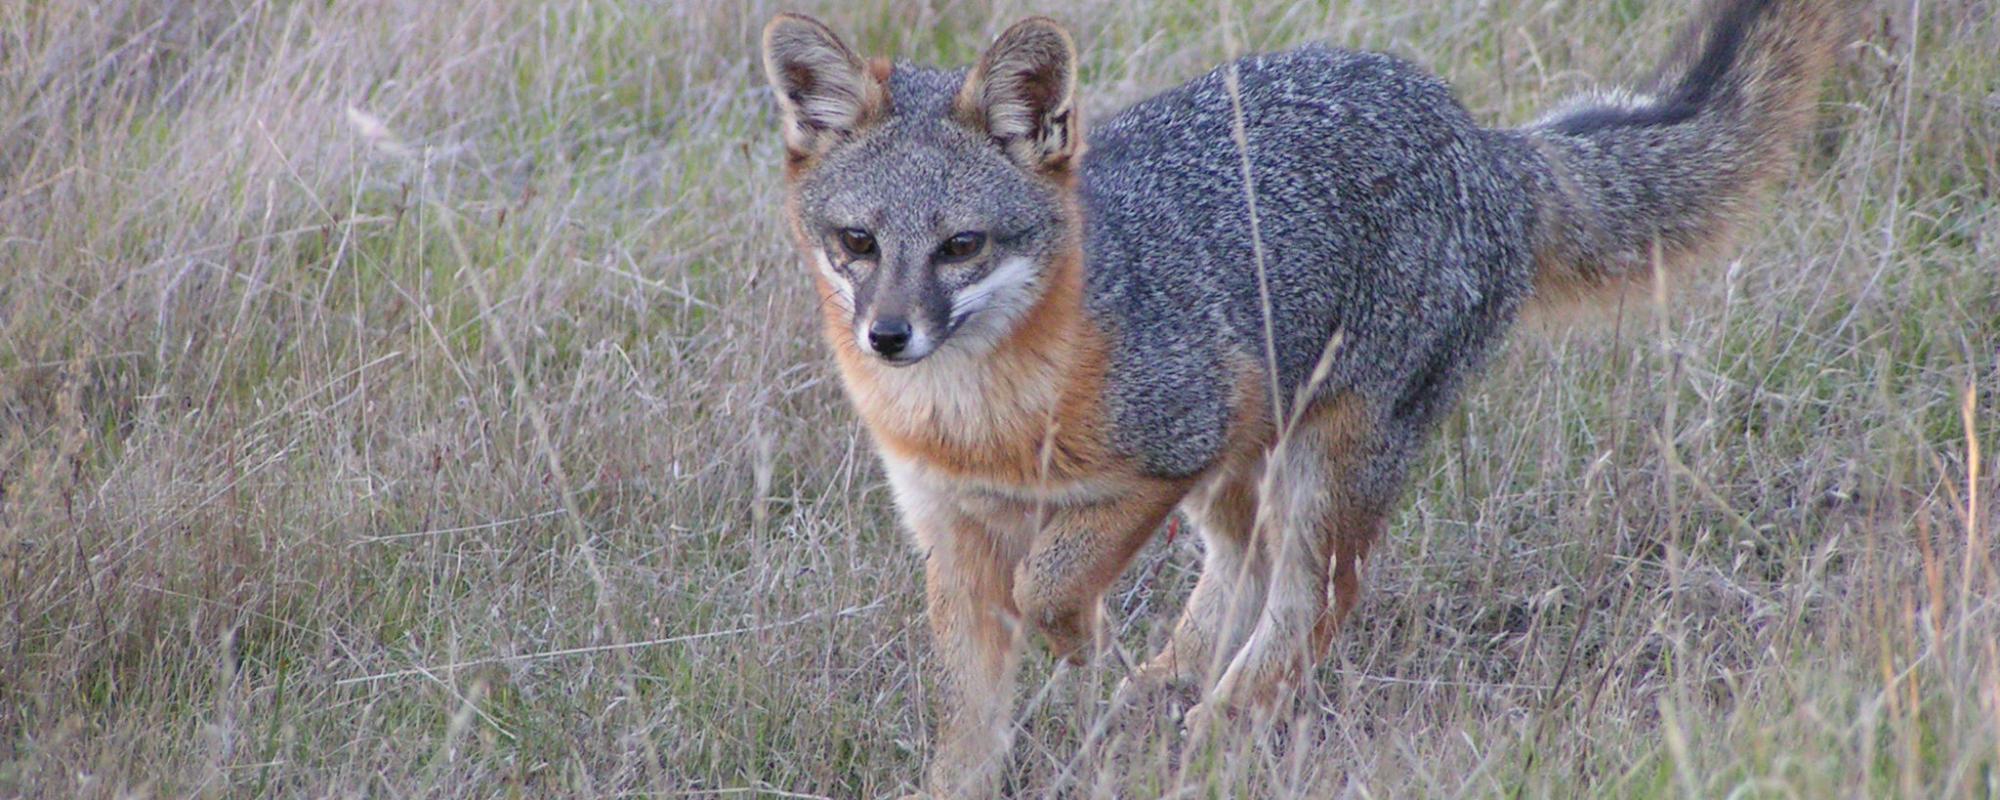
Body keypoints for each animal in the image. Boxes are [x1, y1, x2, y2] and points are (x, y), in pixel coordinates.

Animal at [760, 0, 1840, 792]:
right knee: (1245, 556)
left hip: (1326, 457)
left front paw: (1079, 635)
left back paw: (1222, 721)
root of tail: (1486, 144)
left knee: (1313, 590)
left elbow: (1051, 581)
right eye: (857, 243)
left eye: (960, 247)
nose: (889, 335)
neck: (978, 422)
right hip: (1255, 457)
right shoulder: (952, 531)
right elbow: (970, 718)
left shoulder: (1165, 455)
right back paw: (1173, 679)